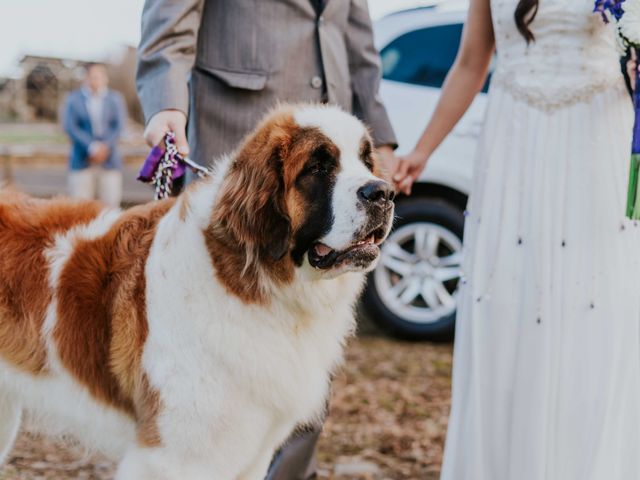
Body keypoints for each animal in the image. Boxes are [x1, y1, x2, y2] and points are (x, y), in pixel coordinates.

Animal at [0, 103, 396, 478]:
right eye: (317, 167)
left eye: (366, 160)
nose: (383, 192)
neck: (247, 279)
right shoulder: (174, 458)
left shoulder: (254, 455)